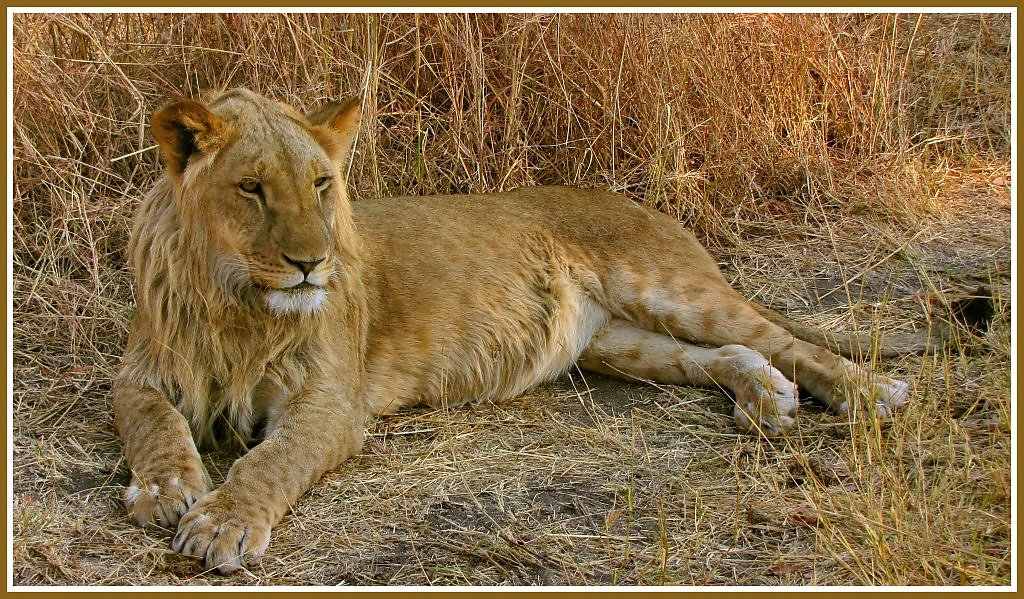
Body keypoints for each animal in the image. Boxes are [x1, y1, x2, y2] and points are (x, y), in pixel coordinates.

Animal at [114, 86, 942, 573]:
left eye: (321, 184)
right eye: (251, 188)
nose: (312, 263)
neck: (235, 304)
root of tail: (640, 202)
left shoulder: (330, 401)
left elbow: (271, 460)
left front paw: (223, 522)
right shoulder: (140, 371)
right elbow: (151, 423)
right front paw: (167, 487)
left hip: (667, 288)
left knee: (788, 341)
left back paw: (875, 392)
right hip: (617, 342)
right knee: (729, 352)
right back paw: (768, 399)